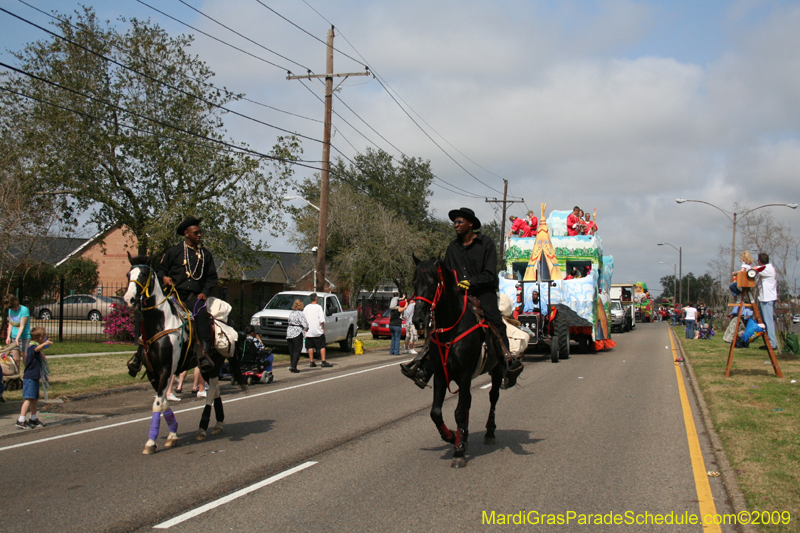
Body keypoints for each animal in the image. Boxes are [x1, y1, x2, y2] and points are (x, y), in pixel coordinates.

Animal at [122, 254, 244, 454]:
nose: (129, 299)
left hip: (213, 365)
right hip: (206, 368)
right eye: (128, 274)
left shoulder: (166, 370)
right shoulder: (153, 373)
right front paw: (172, 434)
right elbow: (163, 402)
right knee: (216, 391)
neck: (159, 322)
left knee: (211, 393)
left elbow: (158, 403)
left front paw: (152, 442)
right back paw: (218, 424)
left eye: (144, 274)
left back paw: (202, 428)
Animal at [410, 254, 504, 466]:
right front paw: (452, 437)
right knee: (467, 401)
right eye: (414, 283)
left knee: (493, 397)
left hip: (496, 370)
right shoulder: (440, 375)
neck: (451, 329)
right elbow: (436, 412)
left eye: (432, 282)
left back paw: (489, 432)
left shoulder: (464, 374)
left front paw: (459, 450)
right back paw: (465, 437)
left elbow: (459, 411)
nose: (418, 320)